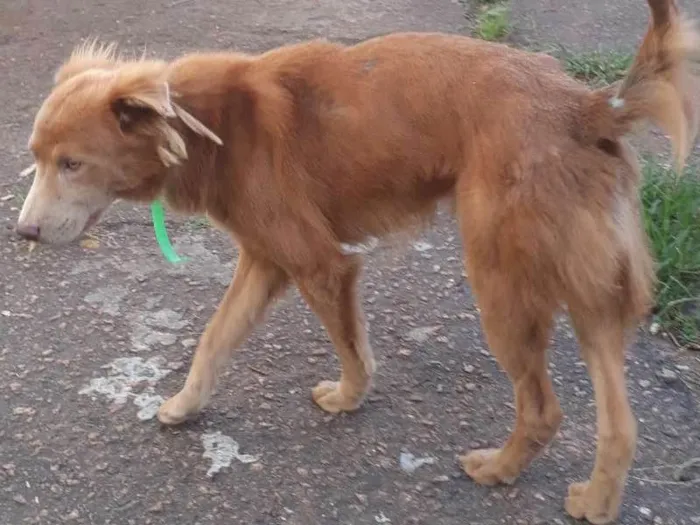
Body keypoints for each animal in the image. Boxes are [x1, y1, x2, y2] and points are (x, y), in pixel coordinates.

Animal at [16, 2, 700, 520]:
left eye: (72, 163)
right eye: (37, 158)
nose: (22, 232)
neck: (211, 126)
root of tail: (587, 106)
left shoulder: (319, 264)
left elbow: (347, 346)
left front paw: (349, 398)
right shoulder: (265, 260)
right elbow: (214, 338)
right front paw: (187, 405)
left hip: (500, 283)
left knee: (542, 409)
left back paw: (498, 469)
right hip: (587, 290)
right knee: (619, 422)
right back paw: (599, 501)